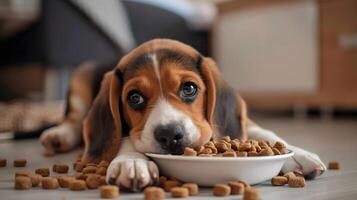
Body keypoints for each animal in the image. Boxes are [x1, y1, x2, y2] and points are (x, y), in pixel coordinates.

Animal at [39, 38, 326, 190]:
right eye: (134, 98)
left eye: (189, 88)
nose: (170, 135)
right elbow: (128, 138)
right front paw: (132, 161)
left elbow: (260, 130)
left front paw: (297, 155)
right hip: (80, 75)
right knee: (74, 119)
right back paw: (58, 135)